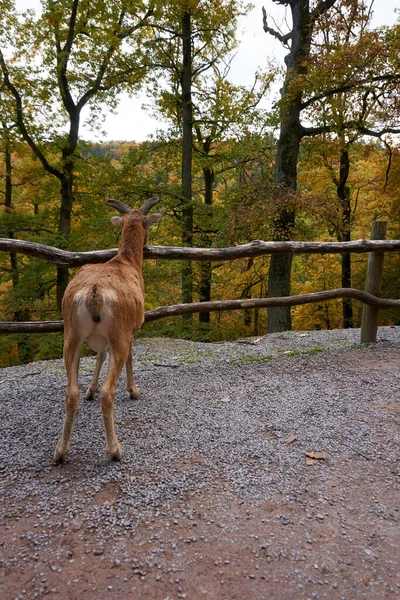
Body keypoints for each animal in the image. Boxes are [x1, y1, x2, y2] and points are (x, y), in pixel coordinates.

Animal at [54, 197, 163, 464]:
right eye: (147, 223)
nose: (148, 244)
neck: (127, 262)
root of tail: (93, 293)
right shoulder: (133, 327)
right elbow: (131, 358)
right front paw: (134, 391)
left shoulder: (98, 338)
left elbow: (99, 355)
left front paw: (90, 390)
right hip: (118, 332)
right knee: (108, 391)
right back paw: (115, 450)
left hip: (71, 333)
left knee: (71, 391)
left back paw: (60, 451)